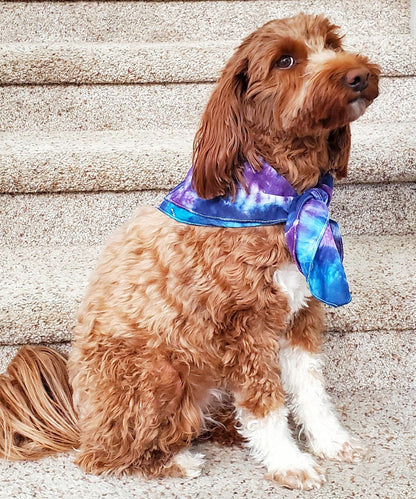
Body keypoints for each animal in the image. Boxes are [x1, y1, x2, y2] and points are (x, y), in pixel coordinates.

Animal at [0, 12, 378, 492]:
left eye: (332, 43)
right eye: (286, 60)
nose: (359, 74)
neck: (286, 198)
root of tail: (82, 421)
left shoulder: (300, 314)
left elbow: (311, 390)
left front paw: (331, 442)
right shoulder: (245, 327)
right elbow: (264, 403)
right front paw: (288, 462)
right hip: (158, 372)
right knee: (105, 456)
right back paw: (176, 461)